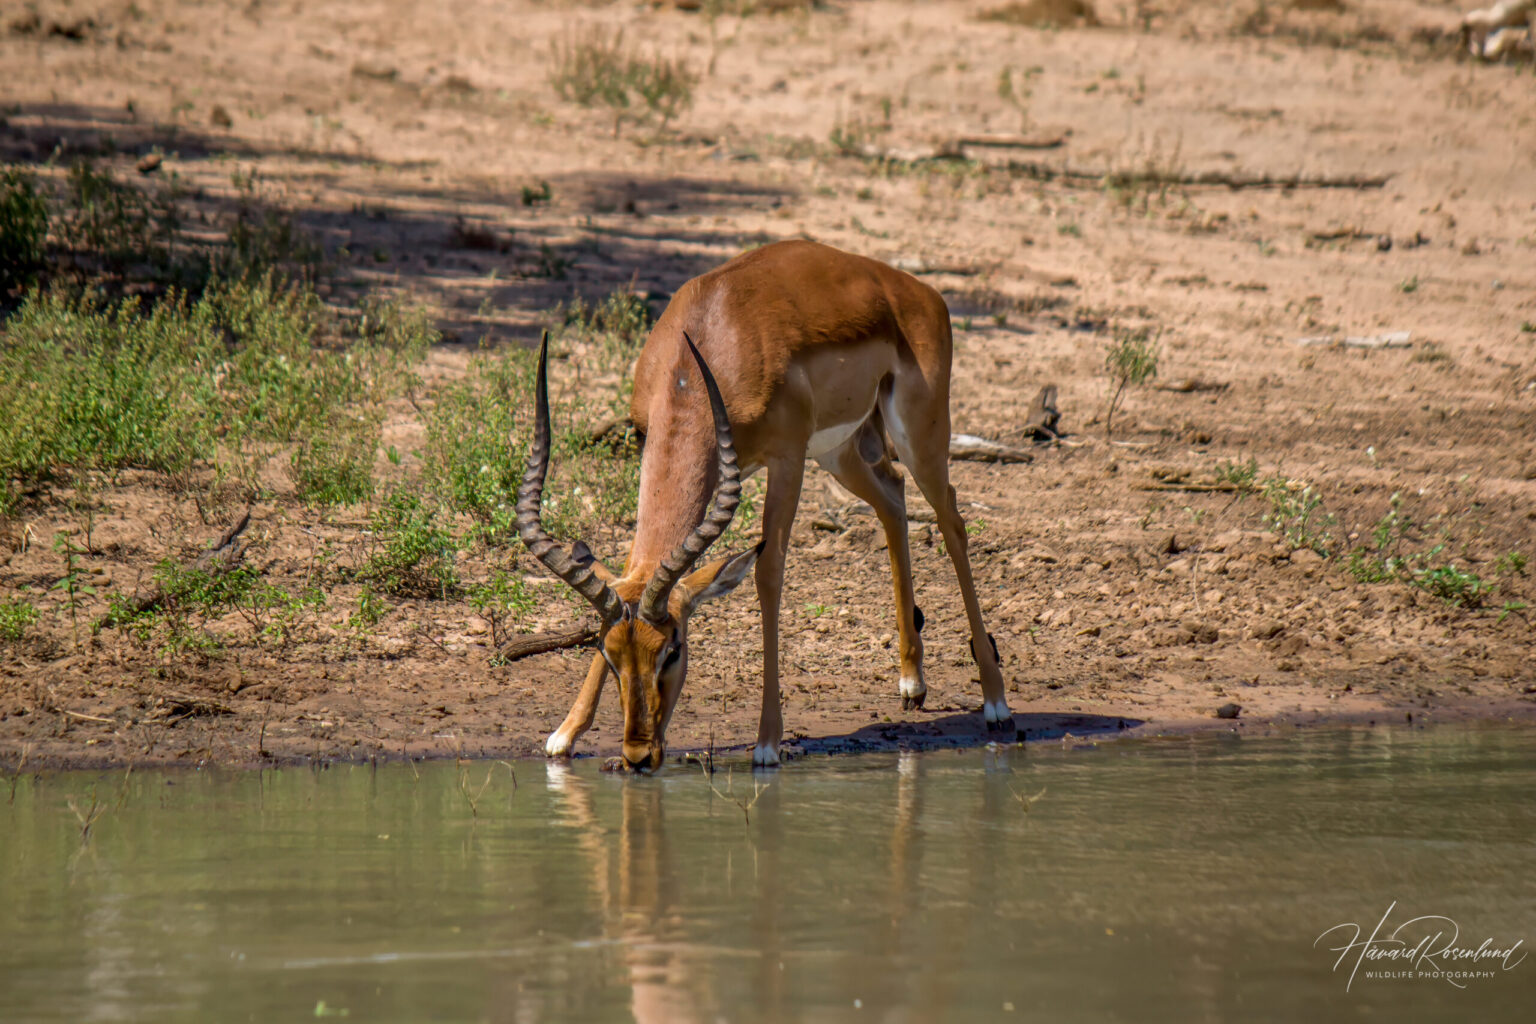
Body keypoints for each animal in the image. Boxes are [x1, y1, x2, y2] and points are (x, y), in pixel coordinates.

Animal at [518, 240, 1010, 770]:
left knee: (952, 520)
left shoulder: (786, 458)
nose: (638, 754)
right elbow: (633, 571)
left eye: (674, 648)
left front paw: (768, 742)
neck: (707, 345)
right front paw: (565, 732)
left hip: (918, 433)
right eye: (608, 654)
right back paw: (911, 684)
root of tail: (921, 292)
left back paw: (996, 703)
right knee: (893, 498)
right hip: (839, 451)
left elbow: (768, 572)